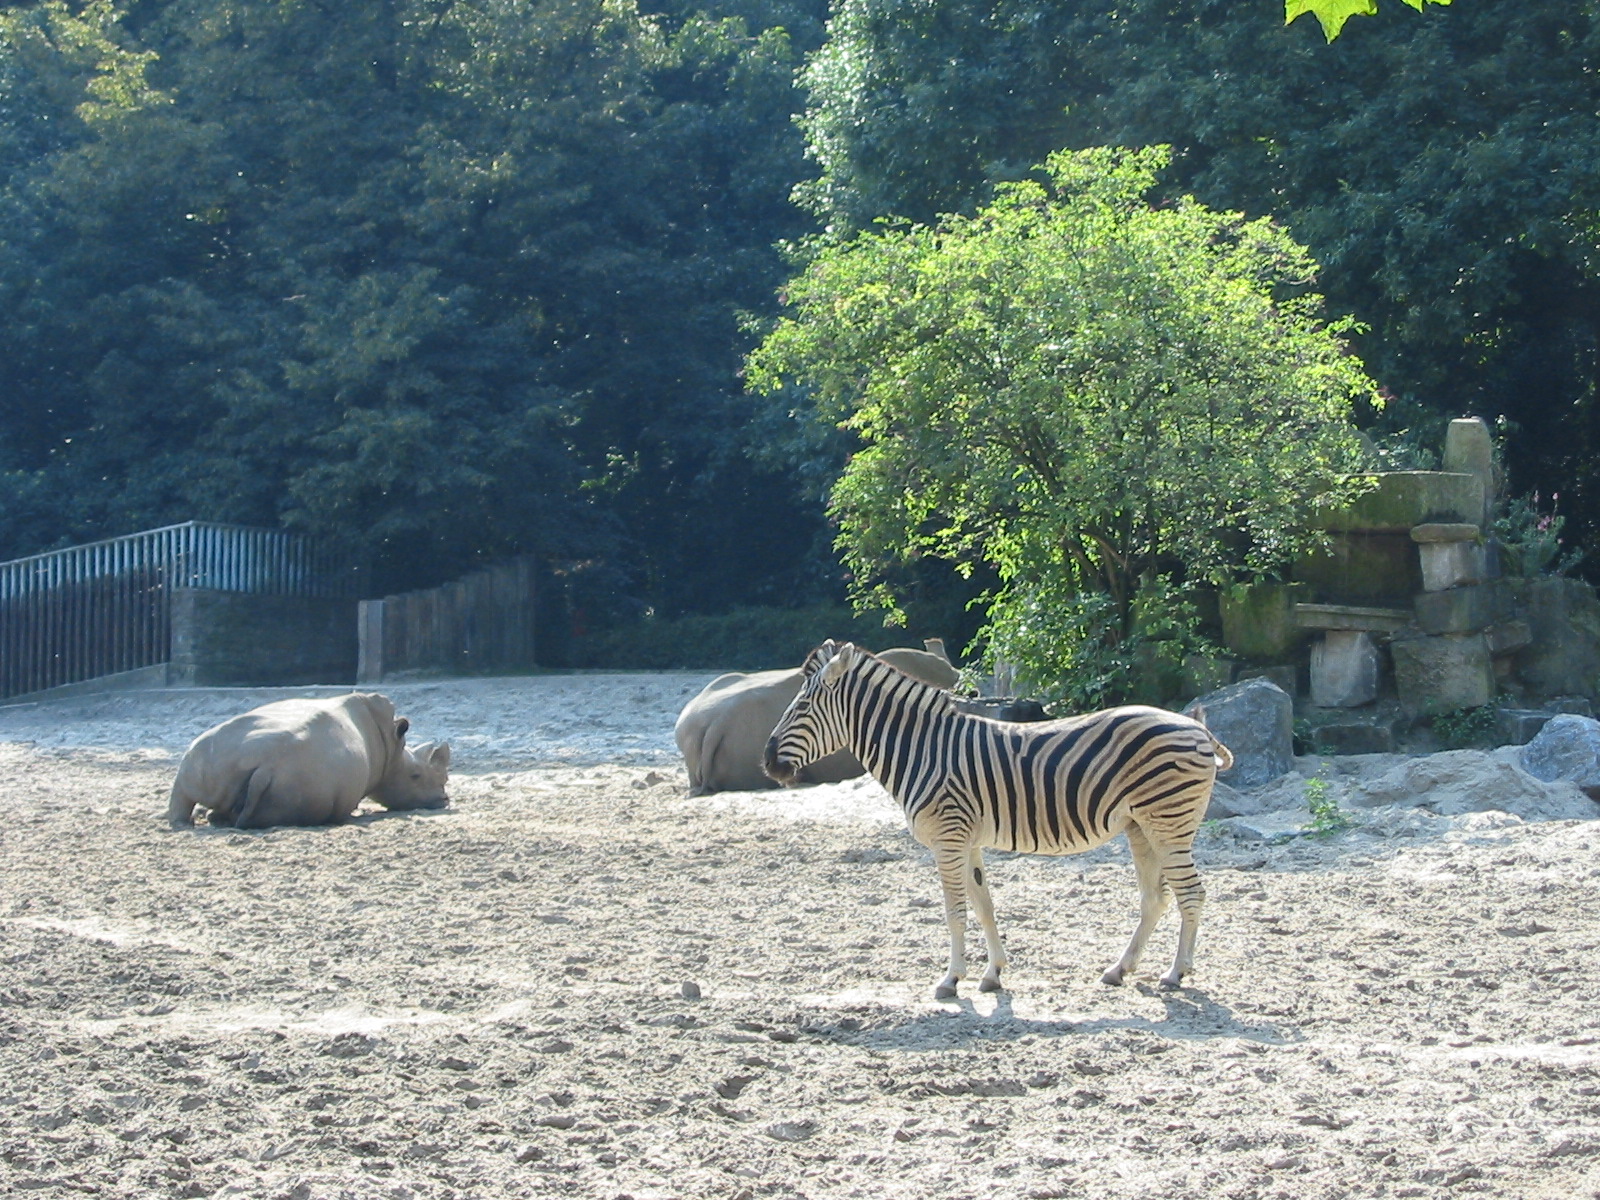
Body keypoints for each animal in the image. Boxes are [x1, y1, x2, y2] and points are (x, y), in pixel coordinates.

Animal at [168, 692, 451, 830]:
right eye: (415, 776)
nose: (444, 800)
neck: (394, 754)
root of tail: (269, 765)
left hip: (211, 753)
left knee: (185, 785)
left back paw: (192, 821)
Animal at [762, 640, 1233, 998]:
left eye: (803, 706)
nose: (767, 763)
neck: (921, 750)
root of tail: (1196, 726)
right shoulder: (967, 840)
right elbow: (983, 905)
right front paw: (992, 975)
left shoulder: (948, 838)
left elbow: (954, 910)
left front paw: (951, 980)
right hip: (1142, 826)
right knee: (1156, 898)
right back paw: (1120, 969)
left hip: (1169, 823)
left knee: (1192, 894)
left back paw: (1175, 974)